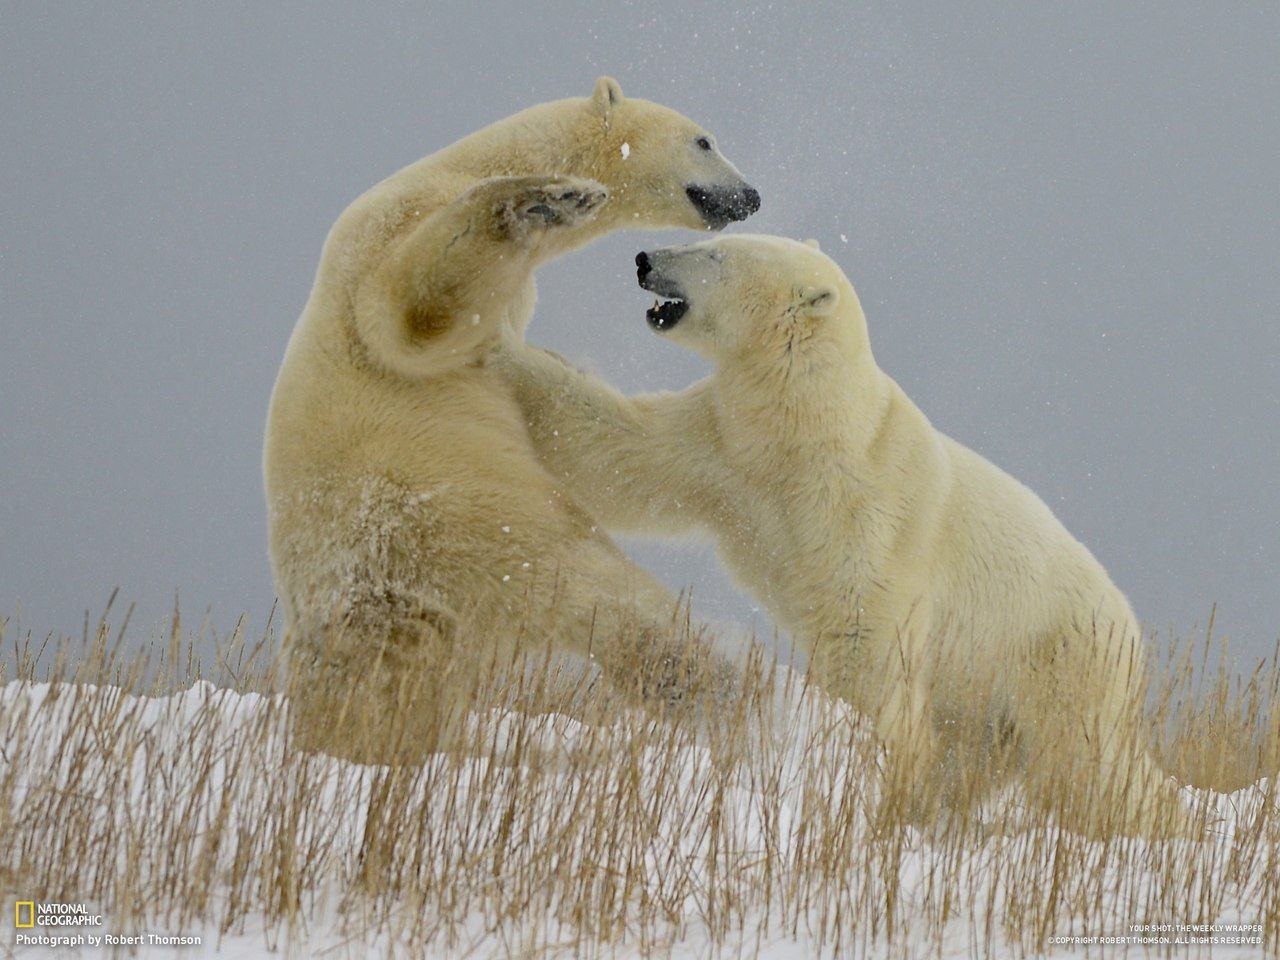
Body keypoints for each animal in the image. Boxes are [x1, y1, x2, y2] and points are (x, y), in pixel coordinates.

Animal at [263, 79, 752, 762]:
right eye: (705, 140)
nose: (750, 196)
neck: (461, 163)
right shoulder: (389, 229)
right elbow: (409, 309)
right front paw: (554, 196)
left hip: (395, 610)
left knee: (392, 681)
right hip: (464, 516)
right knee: (596, 589)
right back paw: (724, 686)